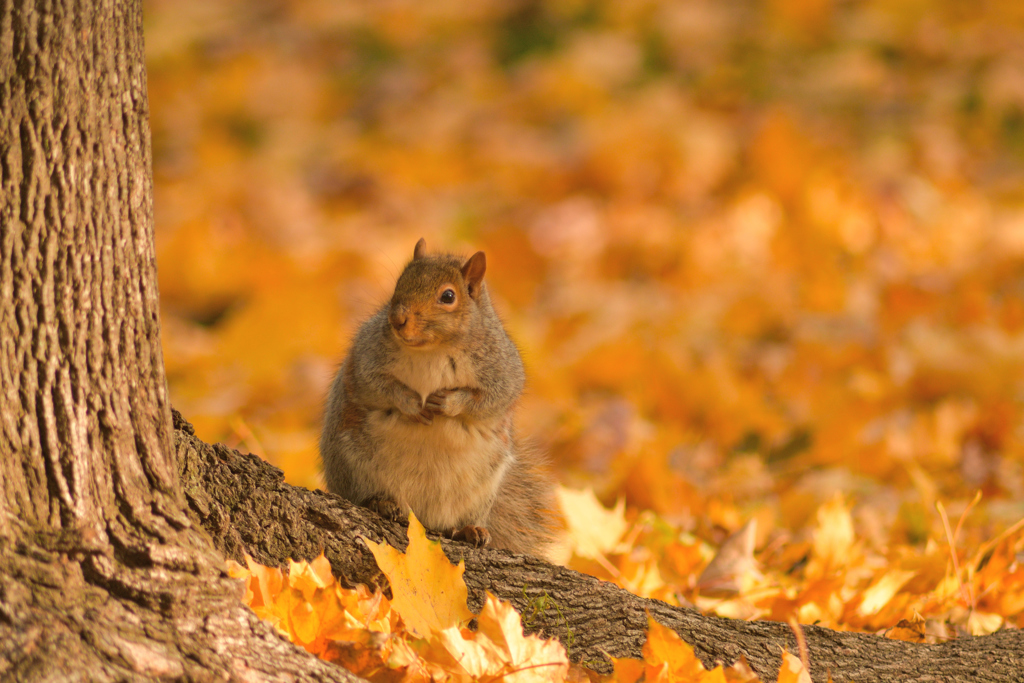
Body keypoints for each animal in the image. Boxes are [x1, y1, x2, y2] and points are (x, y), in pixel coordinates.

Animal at [321, 235, 557, 557]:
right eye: (399, 283)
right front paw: (410, 403)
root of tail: (423, 517)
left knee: (455, 524)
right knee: (364, 495)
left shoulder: (501, 370)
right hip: (352, 463)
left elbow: (490, 399)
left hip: (481, 490)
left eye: (448, 296)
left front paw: (448, 402)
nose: (397, 318)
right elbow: (377, 386)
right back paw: (383, 502)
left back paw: (469, 530)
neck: (433, 348)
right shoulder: (365, 358)